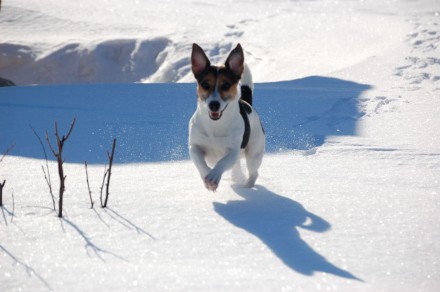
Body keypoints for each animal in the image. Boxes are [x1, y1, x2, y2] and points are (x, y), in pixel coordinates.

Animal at [186, 43, 262, 192]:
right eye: (205, 84)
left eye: (226, 85)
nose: (214, 105)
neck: (215, 125)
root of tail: (247, 103)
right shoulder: (194, 146)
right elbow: (200, 163)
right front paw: (207, 178)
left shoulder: (233, 151)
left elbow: (222, 162)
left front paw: (213, 177)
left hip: (254, 153)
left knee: (254, 172)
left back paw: (246, 187)